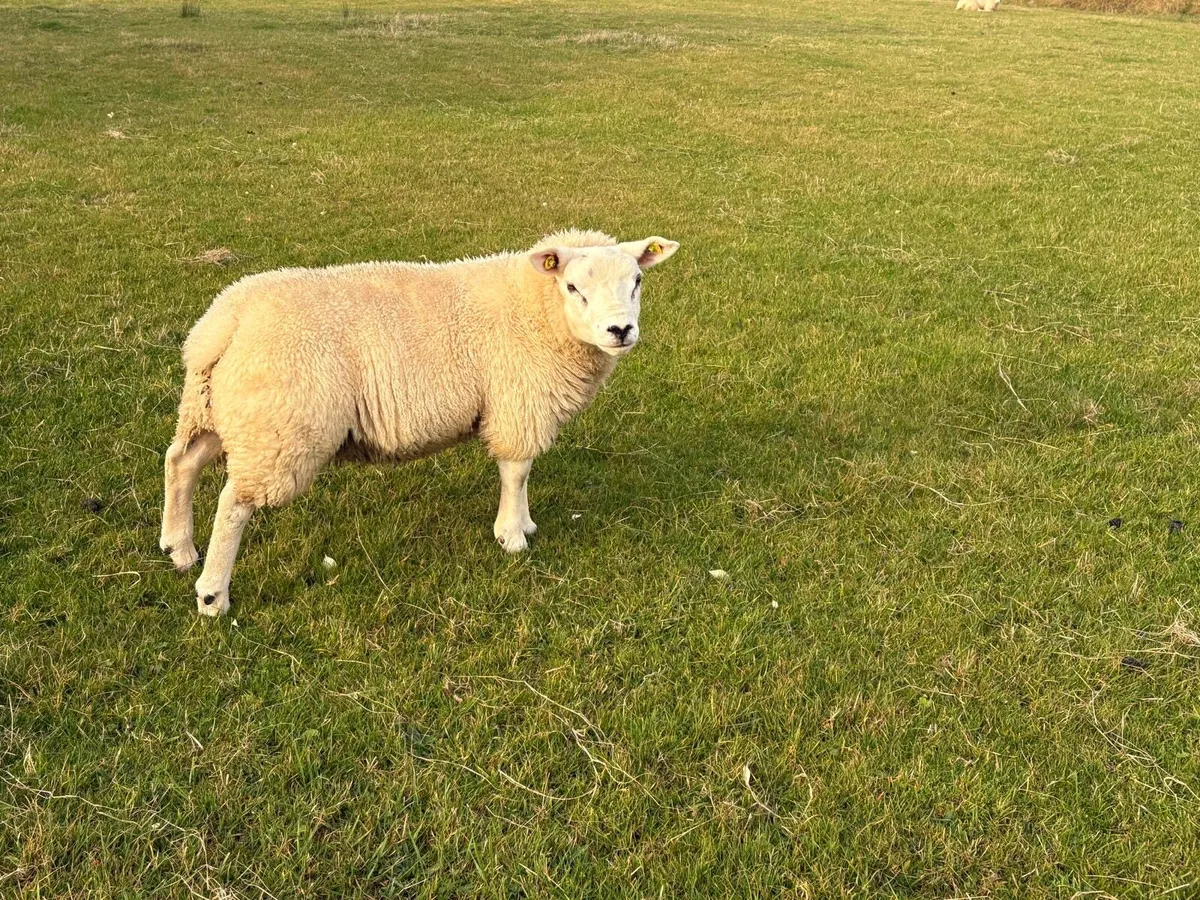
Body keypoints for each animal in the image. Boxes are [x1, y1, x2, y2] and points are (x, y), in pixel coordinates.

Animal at [159, 230, 680, 615]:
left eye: (637, 280)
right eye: (573, 287)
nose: (620, 330)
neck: (536, 308)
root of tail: (223, 322)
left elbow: (524, 472)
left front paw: (525, 523)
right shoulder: (517, 401)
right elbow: (517, 471)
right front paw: (512, 535)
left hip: (218, 409)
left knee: (181, 461)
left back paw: (179, 549)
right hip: (279, 425)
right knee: (233, 503)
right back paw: (212, 594)